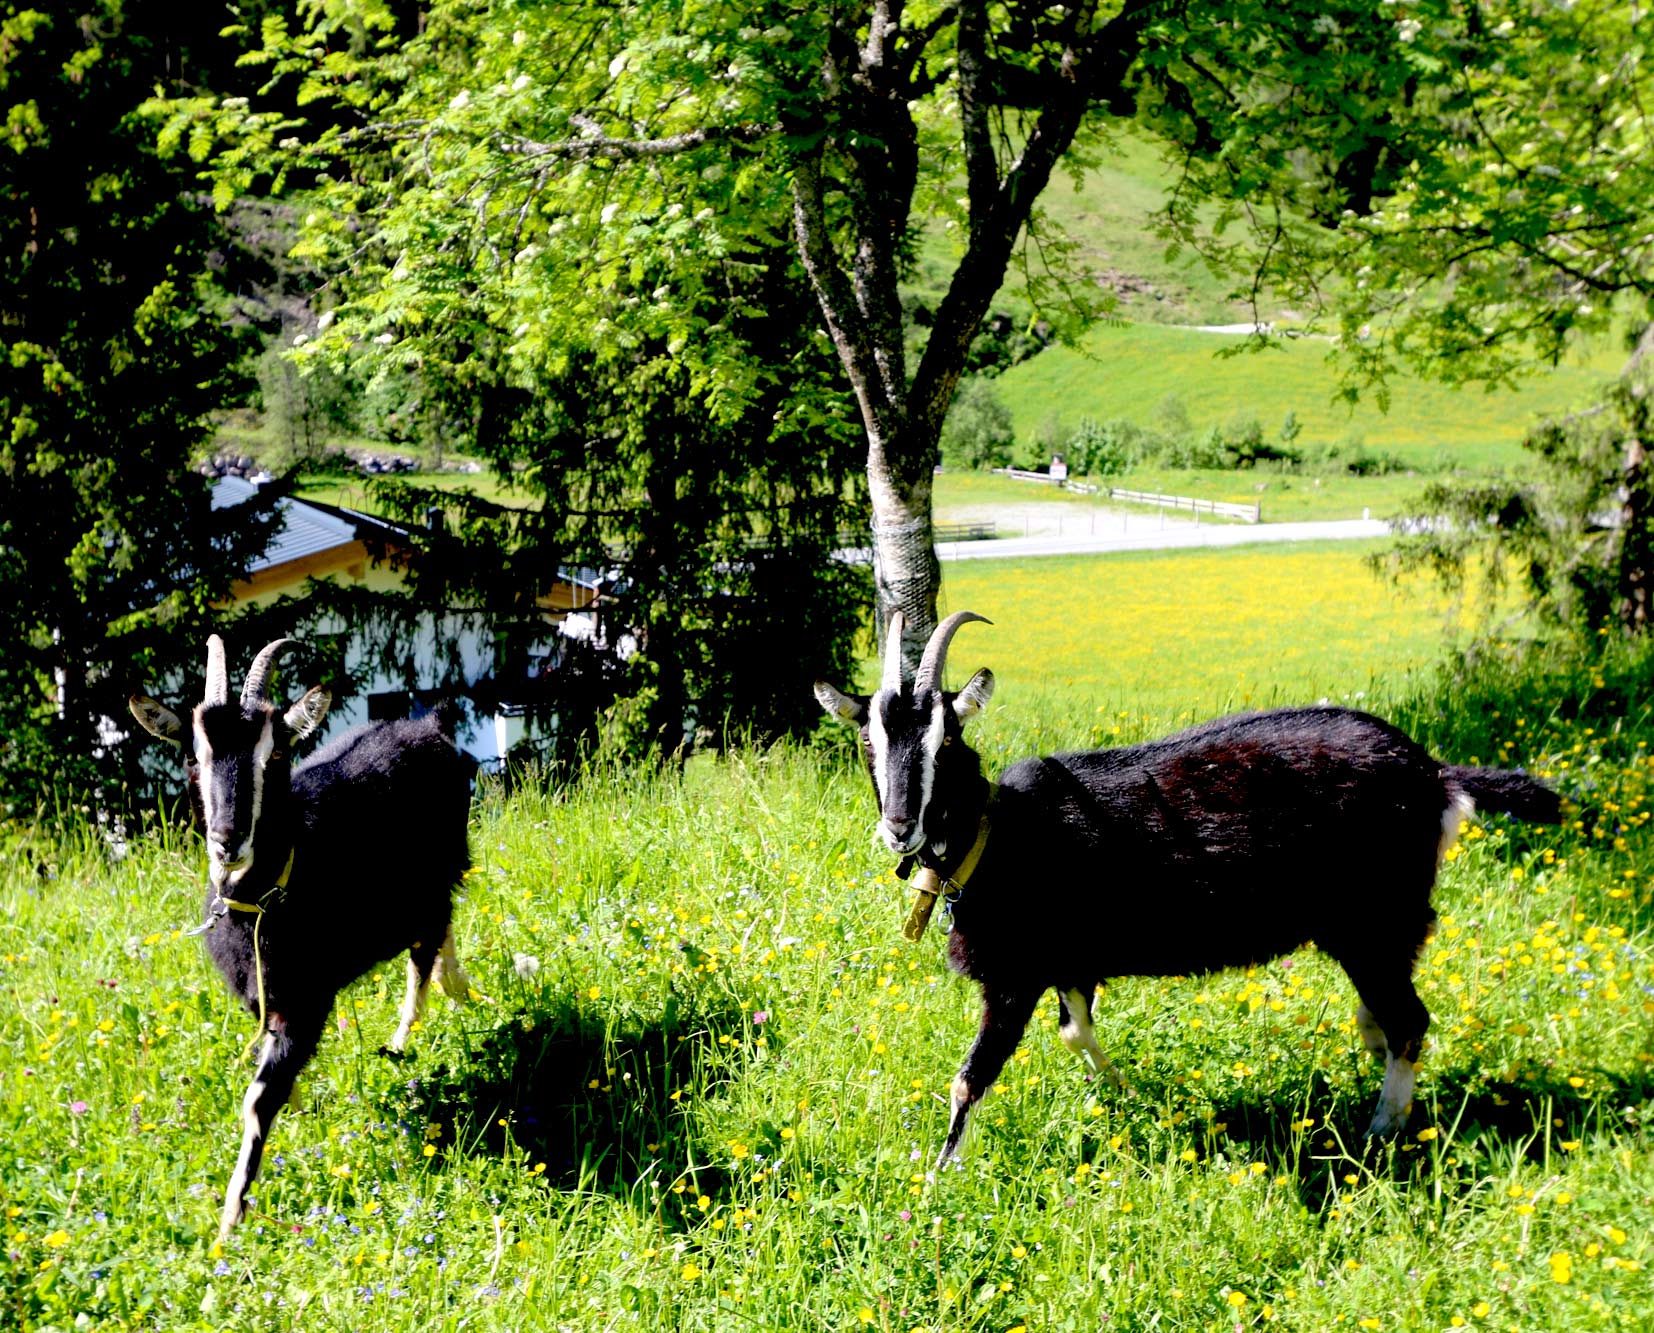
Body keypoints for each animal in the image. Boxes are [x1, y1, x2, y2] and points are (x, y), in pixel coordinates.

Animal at [130, 638, 479, 1243]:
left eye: (272, 756)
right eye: (192, 756)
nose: (227, 840)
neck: (265, 902)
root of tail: (429, 723)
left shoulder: (307, 1001)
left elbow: (257, 1099)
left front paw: (228, 1226)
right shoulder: (261, 999)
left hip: (438, 872)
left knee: (426, 946)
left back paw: (407, 1032)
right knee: (436, 933)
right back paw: (450, 990)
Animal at [813, 615, 1561, 1170]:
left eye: (946, 741)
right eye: (868, 742)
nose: (899, 826)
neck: (999, 834)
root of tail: (1436, 774)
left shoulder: (1016, 975)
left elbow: (970, 1076)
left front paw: (939, 1178)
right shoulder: (1070, 960)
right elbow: (1075, 1030)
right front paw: (1123, 1094)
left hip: (1375, 918)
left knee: (1409, 1020)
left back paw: (1379, 1132)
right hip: (1376, 928)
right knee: (1387, 1016)